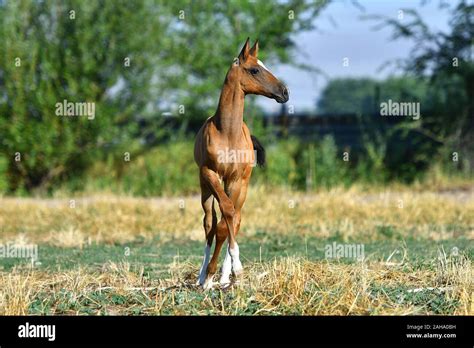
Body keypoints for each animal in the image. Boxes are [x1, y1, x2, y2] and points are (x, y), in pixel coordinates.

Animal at [193, 38, 288, 290]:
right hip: (206, 188)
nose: (284, 92)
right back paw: (201, 276)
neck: (227, 132)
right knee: (209, 222)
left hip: (241, 186)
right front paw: (209, 276)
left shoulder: (236, 180)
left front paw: (232, 270)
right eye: (254, 69)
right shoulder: (211, 174)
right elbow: (220, 220)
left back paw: (224, 276)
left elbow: (228, 222)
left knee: (234, 219)